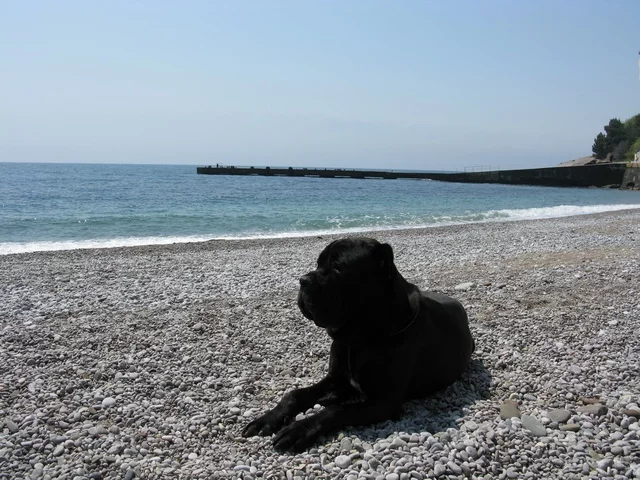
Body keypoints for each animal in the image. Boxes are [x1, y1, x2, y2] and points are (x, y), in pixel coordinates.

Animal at [242, 237, 475, 452]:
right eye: (318, 264)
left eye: (338, 267)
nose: (303, 280)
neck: (358, 338)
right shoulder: (335, 379)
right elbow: (294, 394)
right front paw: (267, 418)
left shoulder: (383, 402)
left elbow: (337, 410)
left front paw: (299, 429)